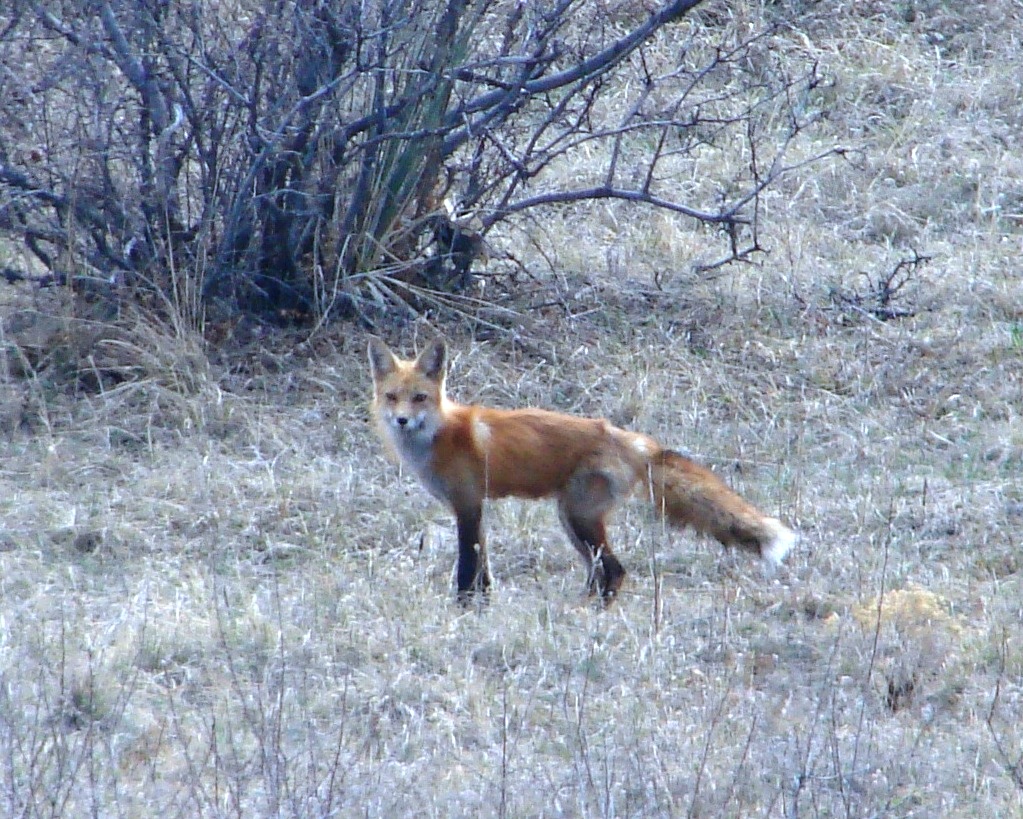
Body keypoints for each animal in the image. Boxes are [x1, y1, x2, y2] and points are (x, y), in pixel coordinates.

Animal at [368, 336, 795, 605]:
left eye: (419, 398)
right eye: (392, 397)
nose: (402, 421)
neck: (438, 436)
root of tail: (637, 442)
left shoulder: (468, 505)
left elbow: (466, 569)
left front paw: (463, 609)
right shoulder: (473, 510)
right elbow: (483, 571)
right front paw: (482, 608)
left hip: (580, 517)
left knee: (615, 570)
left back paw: (592, 613)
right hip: (571, 519)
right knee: (599, 572)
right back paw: (580, 608)